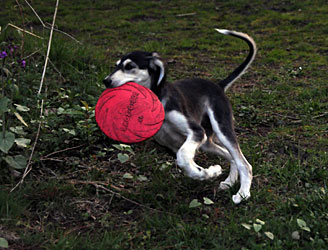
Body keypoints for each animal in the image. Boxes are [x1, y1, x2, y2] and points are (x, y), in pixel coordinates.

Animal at [104, 29, 258, 203]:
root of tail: (218, 86)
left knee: (243, 163)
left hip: (221, 128)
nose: (106, 81)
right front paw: (210, 172)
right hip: (207, 142)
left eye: (129, 66)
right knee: (230, 156)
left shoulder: (196, 132)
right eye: (116, 66)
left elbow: (183, 158)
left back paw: (242, 193)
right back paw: (229, 181)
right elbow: (186, 164)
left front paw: (206, 172)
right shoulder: (173, 144)